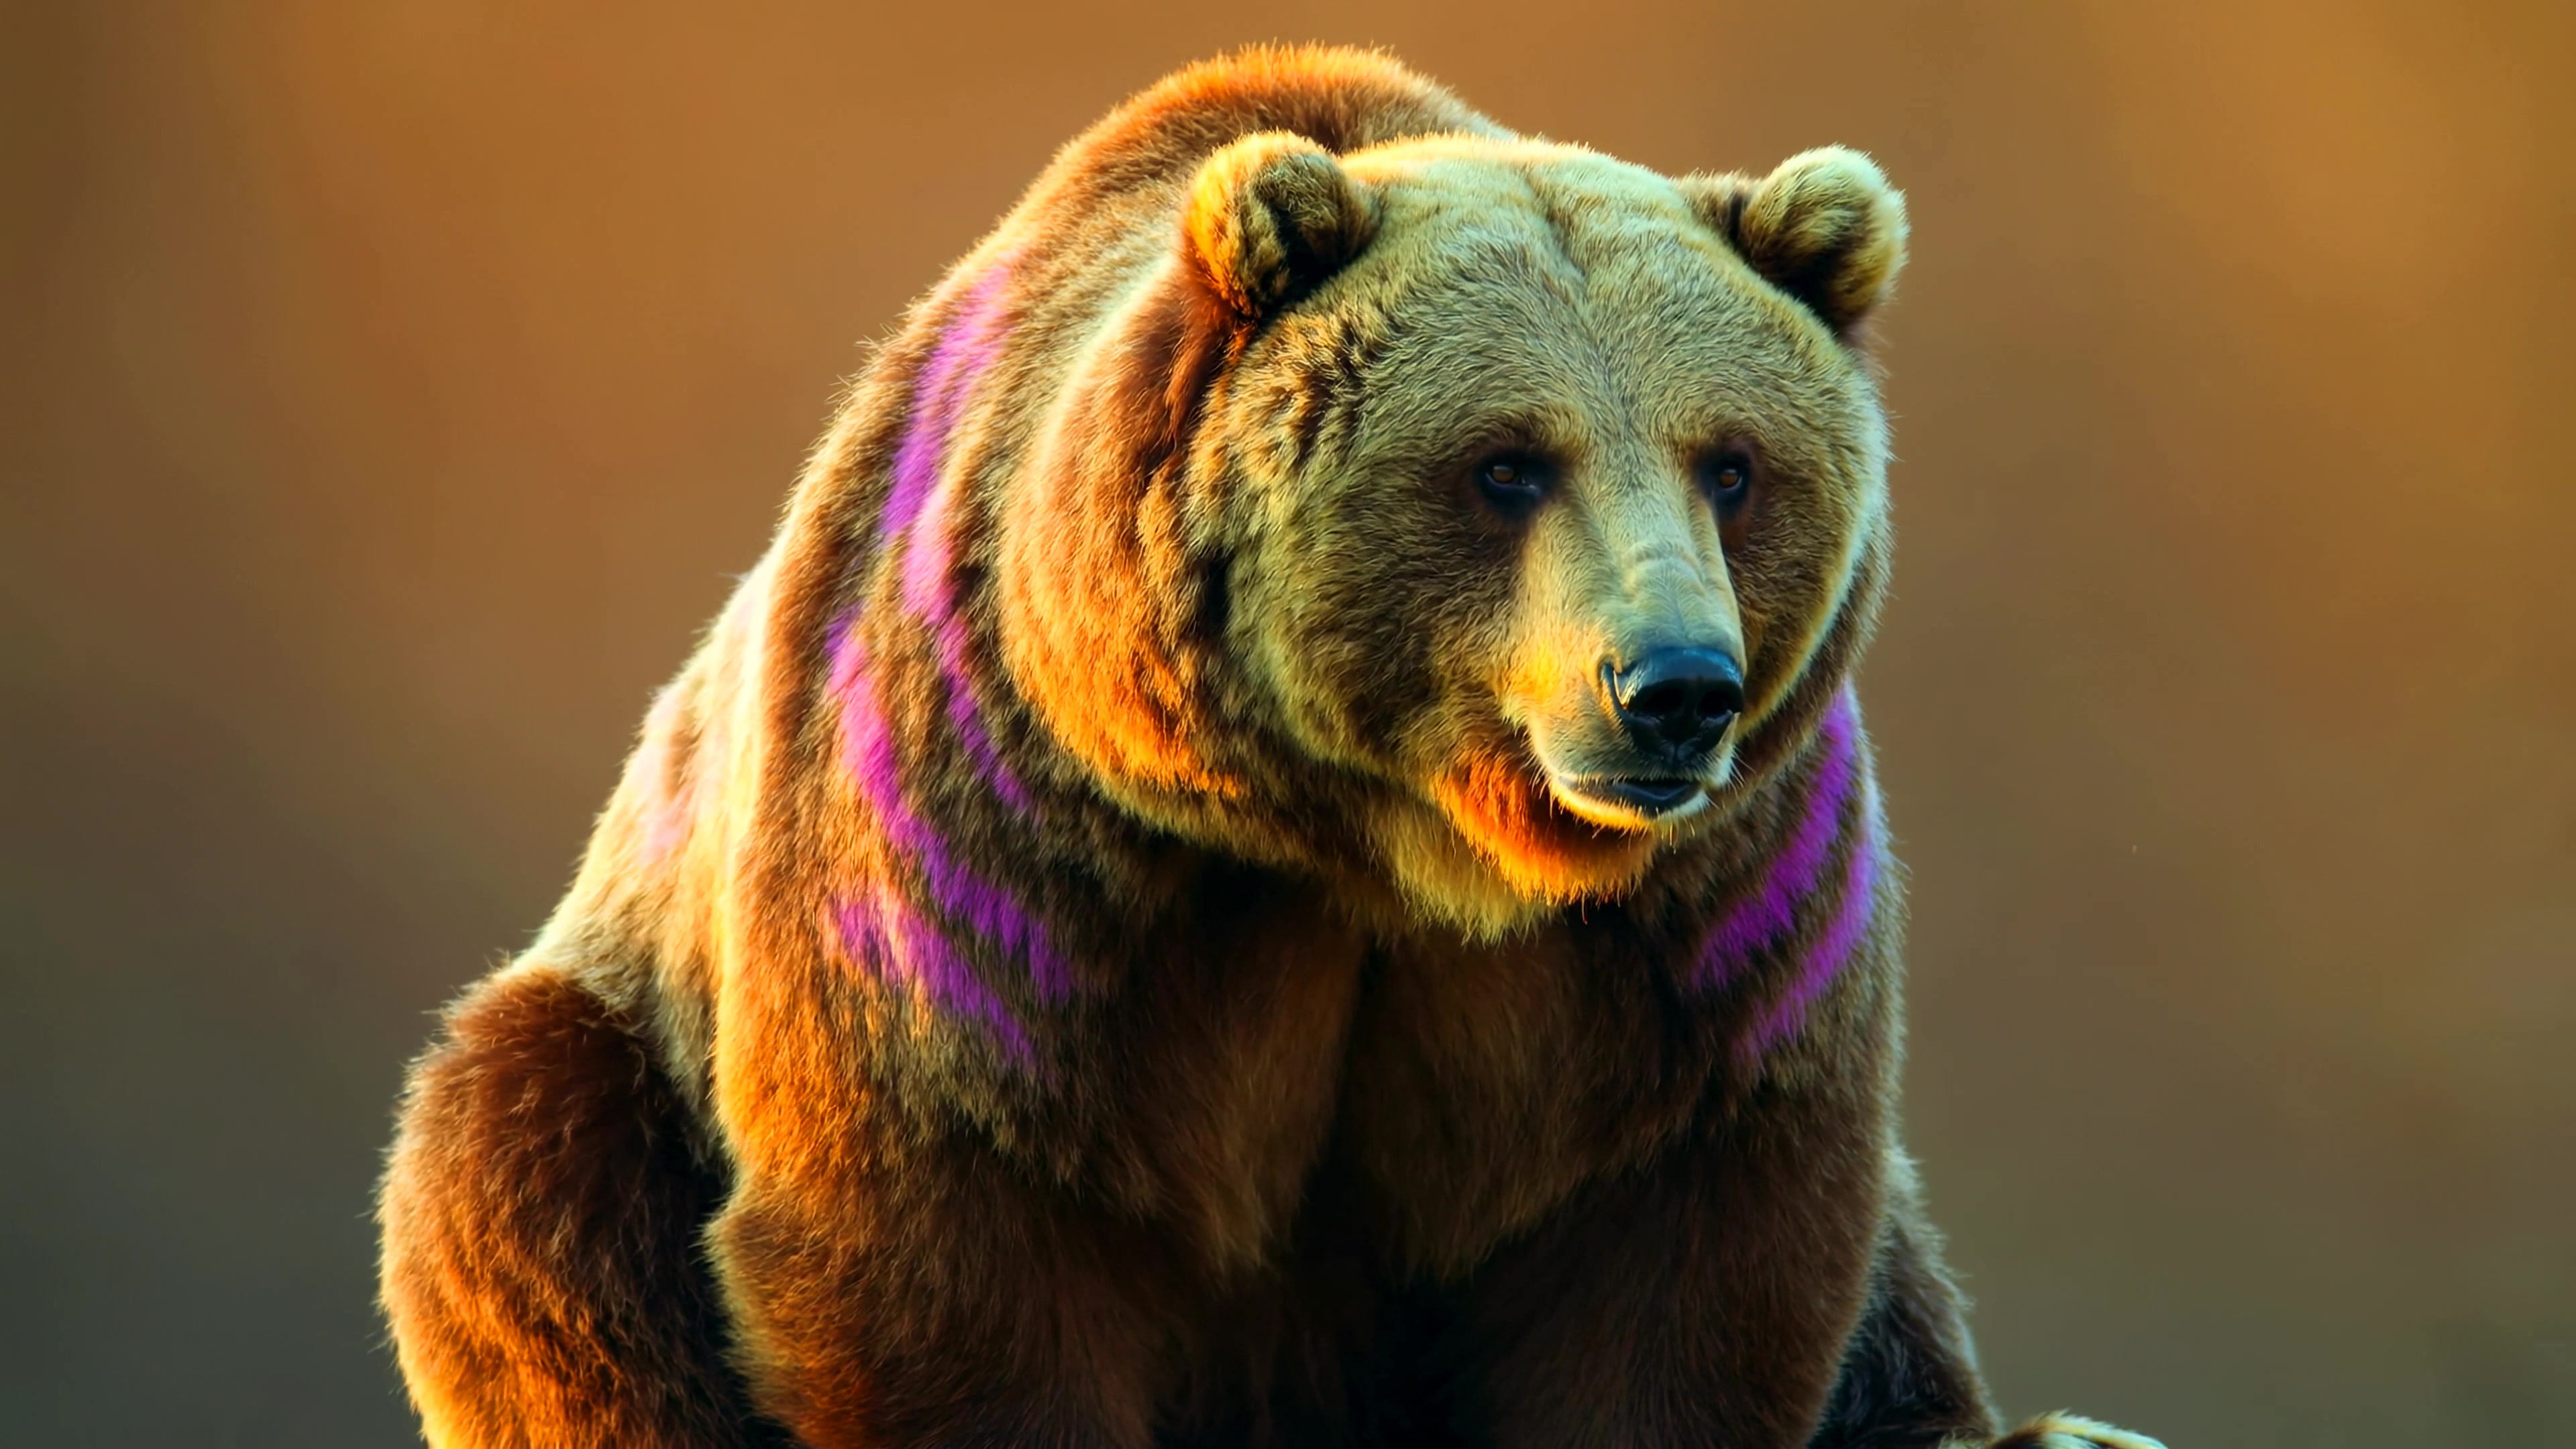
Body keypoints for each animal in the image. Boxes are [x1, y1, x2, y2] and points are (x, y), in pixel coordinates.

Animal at [377, 46, 2161, 1449]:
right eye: (1507, 462)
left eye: (1731, 462)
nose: (1673, 686)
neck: (1374, 840)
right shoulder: (1022, 843)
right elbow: (946, 1227)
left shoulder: (1699, 917)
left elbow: (1683, 1256)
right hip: (604, 1051)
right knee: (522, 1174)